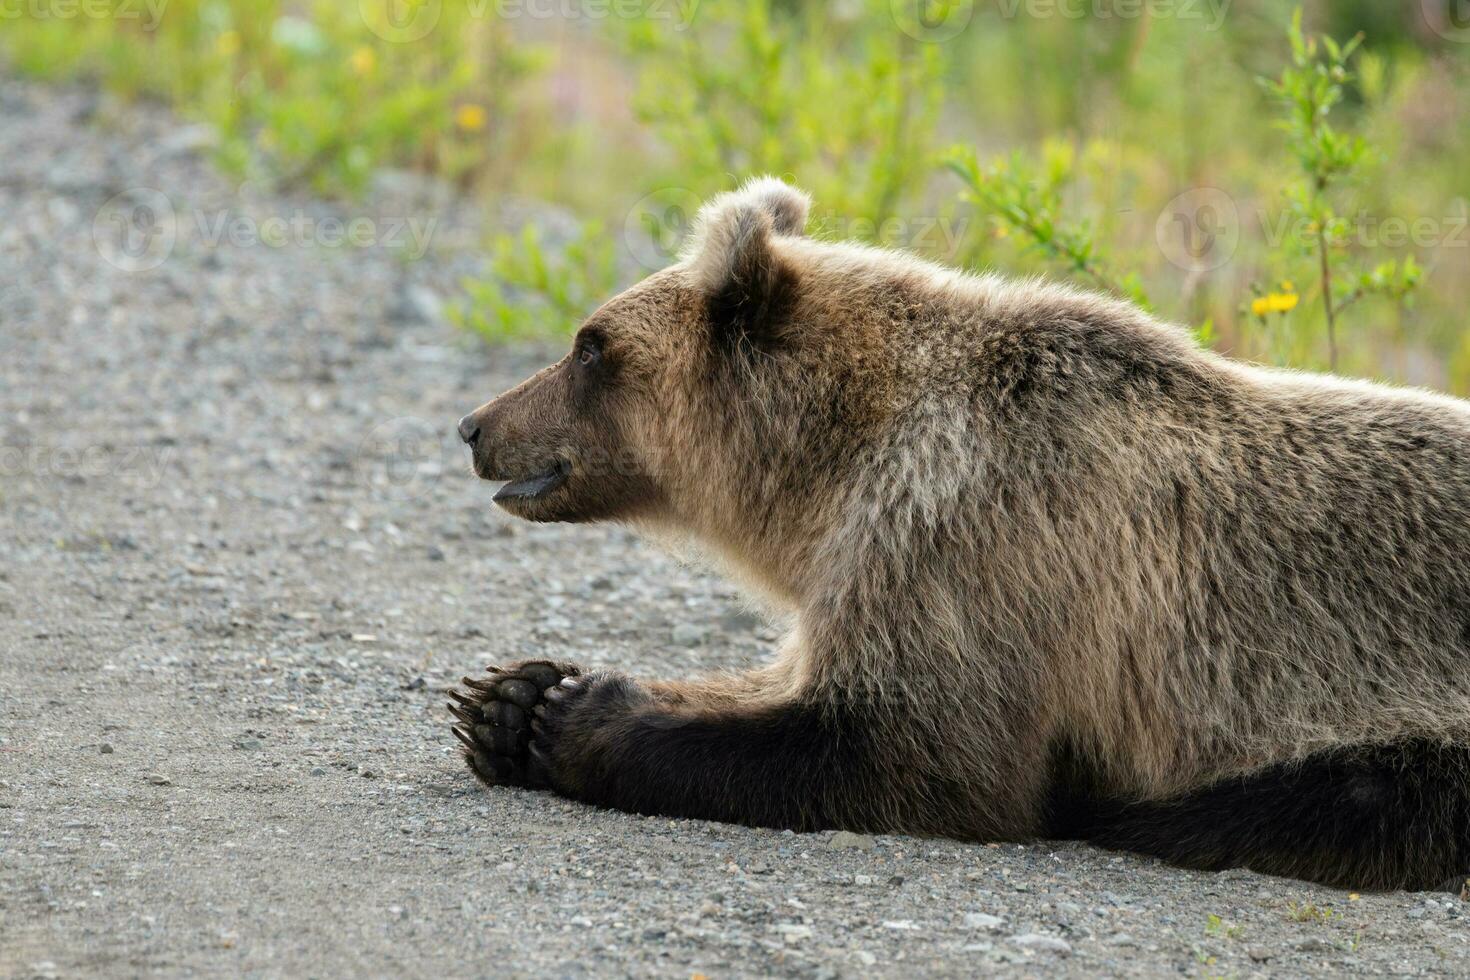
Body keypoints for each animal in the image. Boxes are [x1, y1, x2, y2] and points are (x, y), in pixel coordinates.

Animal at [446, 176, 1470, 887]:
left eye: (589, 346)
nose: (475, 425)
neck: (833, 468)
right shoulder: (870, 562)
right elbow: (784, 680)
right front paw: (511, 696)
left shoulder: (975, 536)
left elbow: (916, 749)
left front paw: (578, 717)